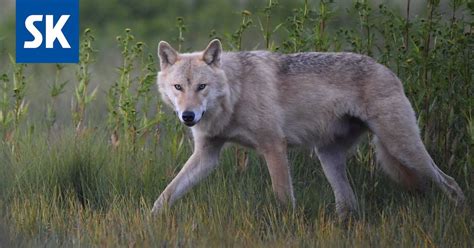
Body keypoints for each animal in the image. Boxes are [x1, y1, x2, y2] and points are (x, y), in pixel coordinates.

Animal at [151, 39, 462, 219]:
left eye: (201, 87)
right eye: (178, 87)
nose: (188, 116)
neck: (235, 94)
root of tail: (388, 70)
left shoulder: (274, 147)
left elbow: (283, 197)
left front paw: (286, 227)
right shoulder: (207, 154)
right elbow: (167, 193)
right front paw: (151, 221)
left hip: (403, 149)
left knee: (450, 183)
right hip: (329, 157)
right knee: (349, 203)